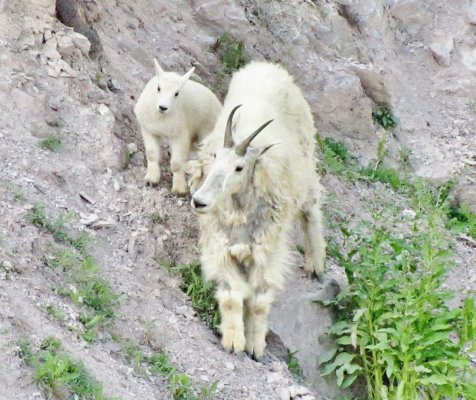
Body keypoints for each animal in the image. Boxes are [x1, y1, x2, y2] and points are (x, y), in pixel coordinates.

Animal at [135, 59, 222, 195]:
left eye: (176, 93)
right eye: (158, 88)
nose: (162, 107)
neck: (162, 118)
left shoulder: (180, 135)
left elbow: (176, 163)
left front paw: (179, 189)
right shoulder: (149, 129)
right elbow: (152, 154)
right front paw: (151, 180)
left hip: (207, 131)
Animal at [190, 62, 328, 360]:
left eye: (239, 167)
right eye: (215, 157)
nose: (199, 201)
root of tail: (267, 67)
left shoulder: (268, 250)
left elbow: (259, 300)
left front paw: (255, 346)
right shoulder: (220, 244)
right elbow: (233, 295)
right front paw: (233, 342)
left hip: (307, 166)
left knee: (311, 210)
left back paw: (316, 264)